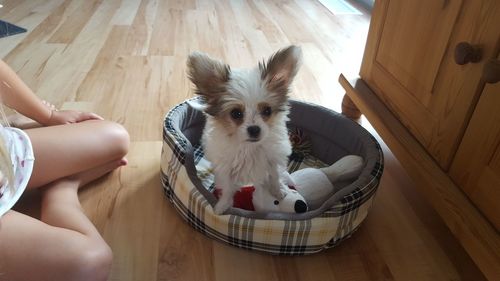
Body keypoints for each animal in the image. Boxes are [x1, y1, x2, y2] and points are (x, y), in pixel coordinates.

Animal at [187, 46, 300, 213]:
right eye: (236, 113)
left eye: (267, 111)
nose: (254, 129)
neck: (249, 147)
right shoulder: (226, 169)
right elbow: (228, 189)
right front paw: (222, 206)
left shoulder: (273, 160)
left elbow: (274, 176)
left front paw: (279, 190)